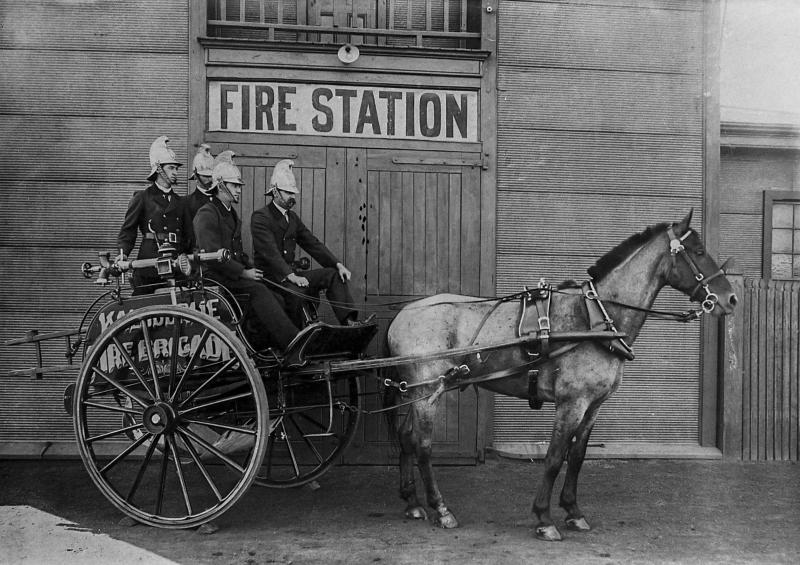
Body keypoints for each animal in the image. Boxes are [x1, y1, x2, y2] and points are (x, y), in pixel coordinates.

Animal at [384, 209, 736, 540]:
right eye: (699, 251)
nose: (729, 298)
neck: (595, 318)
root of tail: (404, 313)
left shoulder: (593, 405)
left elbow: (577, 456)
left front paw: (573, 511)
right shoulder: (571, 402)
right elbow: (554, 457)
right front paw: (544, 518)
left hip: (415, 391)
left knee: (405, 437)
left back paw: (413, 503)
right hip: (426, 392)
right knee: (423, 444)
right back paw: (441, 509)